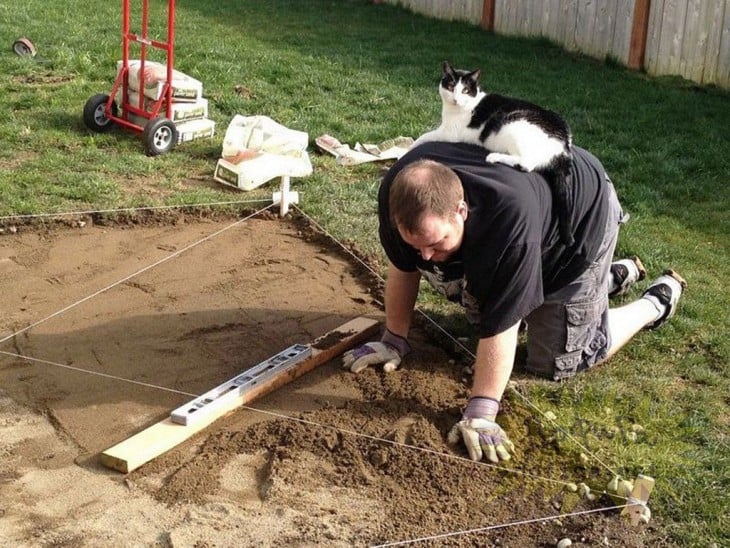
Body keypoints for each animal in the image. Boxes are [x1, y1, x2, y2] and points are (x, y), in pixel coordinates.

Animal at [410, 60, 576, 246]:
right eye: (451, 86)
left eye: (465, 90)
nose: (456, 99)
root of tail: (564, 146)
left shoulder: (449, 133)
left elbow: (423, 136)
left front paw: (407, 148)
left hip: (513, 125)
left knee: (526, 164)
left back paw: (494, 156)